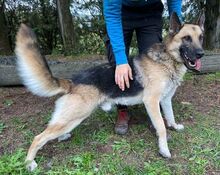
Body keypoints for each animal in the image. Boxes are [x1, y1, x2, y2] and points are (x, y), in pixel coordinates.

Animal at [15, 12, 205, 171]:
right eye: (186, 38)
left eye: (201, 37)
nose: (201, 53)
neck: (168, 60)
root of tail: (73, 81)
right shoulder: (151, 101)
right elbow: (161, 127)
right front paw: (164, 149)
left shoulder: (165, 100)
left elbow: (170, 117)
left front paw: (174, 127)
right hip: (74, 116)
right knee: (38, 138)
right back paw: (29, 163)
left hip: (69, 119)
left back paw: (61, 137)